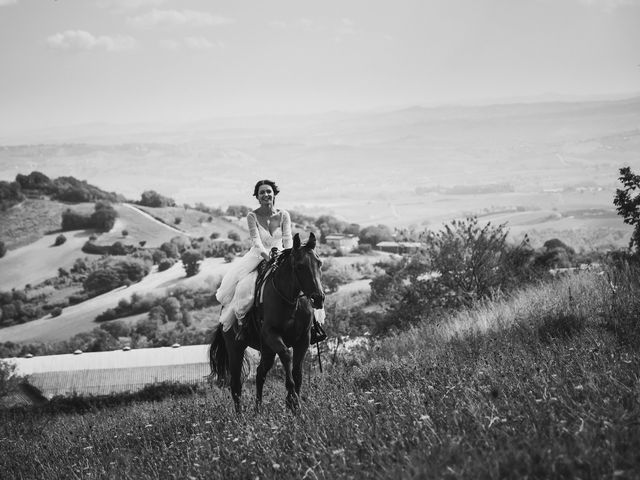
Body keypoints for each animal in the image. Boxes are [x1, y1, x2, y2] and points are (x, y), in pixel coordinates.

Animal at [209, 232, 322, 412]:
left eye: (319, 263)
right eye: (299, 266)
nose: (318, 298)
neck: (290, 299)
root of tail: (223, 309)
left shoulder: (303, 339)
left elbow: (297, 372)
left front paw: (296, 405)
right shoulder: (272, 335)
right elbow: (286, 355)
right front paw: (291, 398)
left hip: (267, 350)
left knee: (260, 373)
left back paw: (258, 410)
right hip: (236, 348)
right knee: (236, 385)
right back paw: (241, 416)